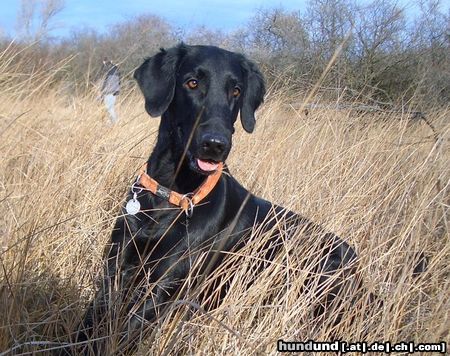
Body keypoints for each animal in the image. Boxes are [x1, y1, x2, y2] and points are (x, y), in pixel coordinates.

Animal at [67, 45, 358, 356]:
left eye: (236, 90)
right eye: (192, 83)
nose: (216, 144)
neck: (172, 195)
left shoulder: (164, 284)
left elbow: (122, 334)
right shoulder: (116, 266)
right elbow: (89, 325)